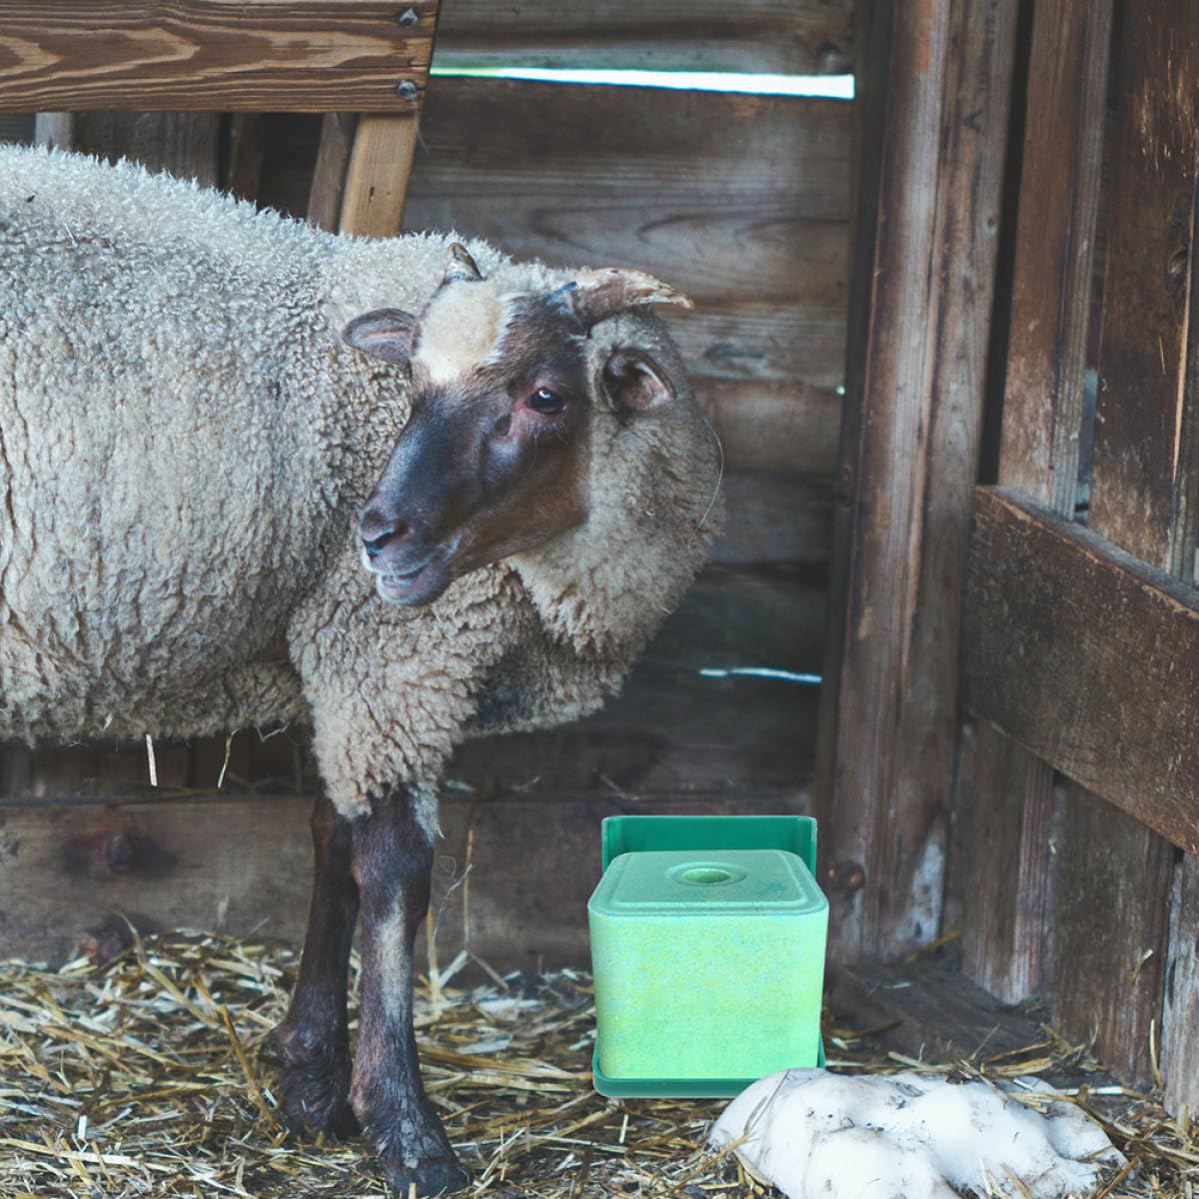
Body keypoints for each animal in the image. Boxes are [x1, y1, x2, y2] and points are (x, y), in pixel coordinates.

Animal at [0, 143, 722, 1194]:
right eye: (413, 381)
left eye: (546, 396)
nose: (377, 534)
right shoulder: (388, 655)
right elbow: (394, 870)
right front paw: (405, 1126)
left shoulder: (348, 661)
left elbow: (329, 836)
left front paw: (310, 1078)